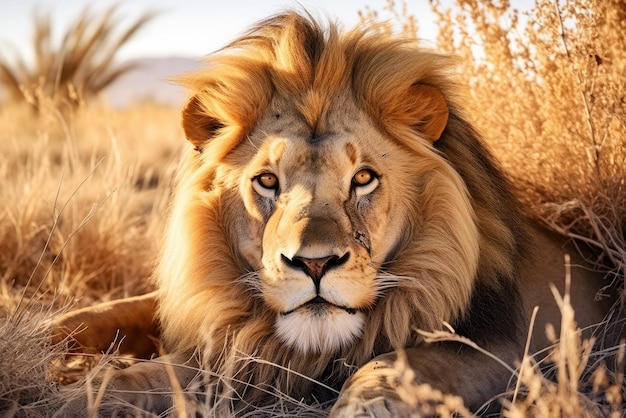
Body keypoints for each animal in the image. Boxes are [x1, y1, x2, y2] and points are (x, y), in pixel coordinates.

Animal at [51, 11, 612, 416]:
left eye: (362, 179)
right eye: (268, 181)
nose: (315, 264)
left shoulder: (507, 349)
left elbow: (397, 360)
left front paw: (367, 406)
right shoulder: (234, 344)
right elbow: (141, 365)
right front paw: (77, 391)